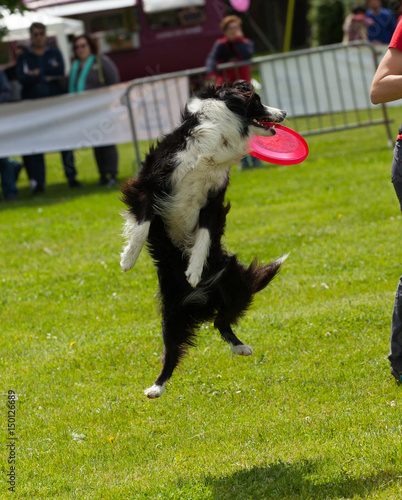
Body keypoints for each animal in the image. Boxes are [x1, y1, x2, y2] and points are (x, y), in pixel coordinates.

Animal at [119, 81, 286, 398]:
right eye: (257, 100)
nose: (283, 113)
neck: (218, 132)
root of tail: (201, 302)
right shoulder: (151, 183)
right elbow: (143, 224)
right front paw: (128, 258)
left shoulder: (213, 201)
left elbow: (203, 238)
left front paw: (195, 271)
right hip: (171, 312)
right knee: (172, 350)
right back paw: (156, 387)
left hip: (235, 287)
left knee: (221, 322)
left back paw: (241, 347)